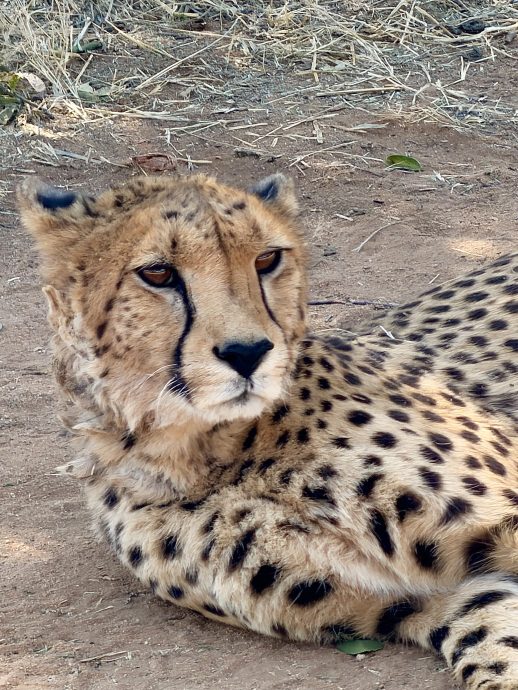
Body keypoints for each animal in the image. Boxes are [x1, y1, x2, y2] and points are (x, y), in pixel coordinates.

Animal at [18, 172, 518, 690]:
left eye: (266, 259)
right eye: (157, 273)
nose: (247, 352)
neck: (213, 452)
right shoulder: (439, 597)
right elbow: (492, 642)